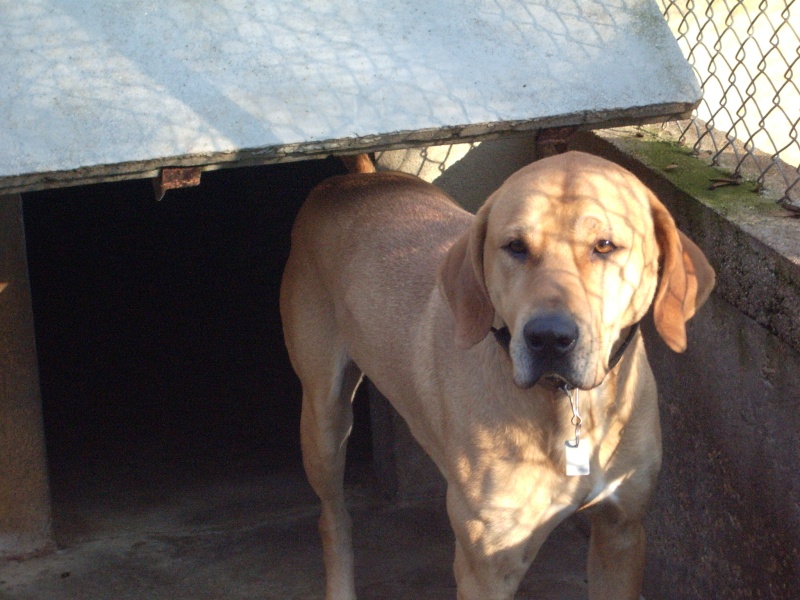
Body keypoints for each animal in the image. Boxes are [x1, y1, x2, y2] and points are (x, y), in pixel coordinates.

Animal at [280, 151, 712, 600]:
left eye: (605, 245)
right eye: (515, 247)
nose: (549, 338)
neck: (567, 404)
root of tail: (352, 182)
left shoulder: (622, 531)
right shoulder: (487, 567)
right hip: (324, 419)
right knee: (333, 518)